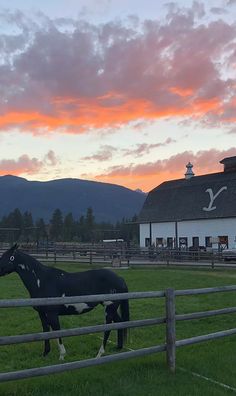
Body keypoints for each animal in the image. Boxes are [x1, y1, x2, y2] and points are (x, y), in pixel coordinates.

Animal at [0, 243, 129, 360]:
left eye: (6, 257)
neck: (42, 281)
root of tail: (120, 278)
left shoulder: (52, 314)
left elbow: (57, 332)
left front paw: (62, 356)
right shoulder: (42, 313)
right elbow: (45, 331)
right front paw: (45, 354)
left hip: (109, 308)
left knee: (108, 328)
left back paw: (99, 354)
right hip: (111, 308)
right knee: (120, 323)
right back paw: (118, 348)